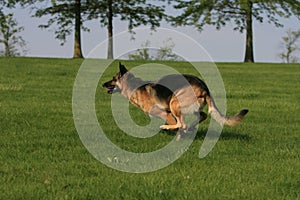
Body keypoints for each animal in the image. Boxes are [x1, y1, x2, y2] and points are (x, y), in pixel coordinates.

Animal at [103, 62, 248, 138]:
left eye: (113, 78)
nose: (103, 84)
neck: (134, 87)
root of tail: (204, 87)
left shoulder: (165, 113)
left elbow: (176, 125)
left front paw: (176, 134)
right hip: (190, 107)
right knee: (202, 115)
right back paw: (191, 128)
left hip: (174, 103)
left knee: (182, 123)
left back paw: (172, 128)